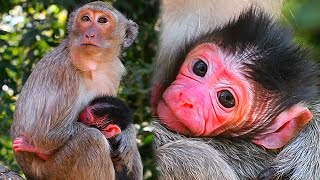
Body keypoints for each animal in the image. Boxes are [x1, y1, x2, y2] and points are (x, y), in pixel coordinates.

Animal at [11, 1, 142, 180]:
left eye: (102, 20)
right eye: (85, 18)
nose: (90, 34)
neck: (92, 65)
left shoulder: (114, 69)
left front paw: (128, 135)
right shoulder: (64, 72)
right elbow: (45, 136)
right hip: (53, 172)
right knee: (92, 139)